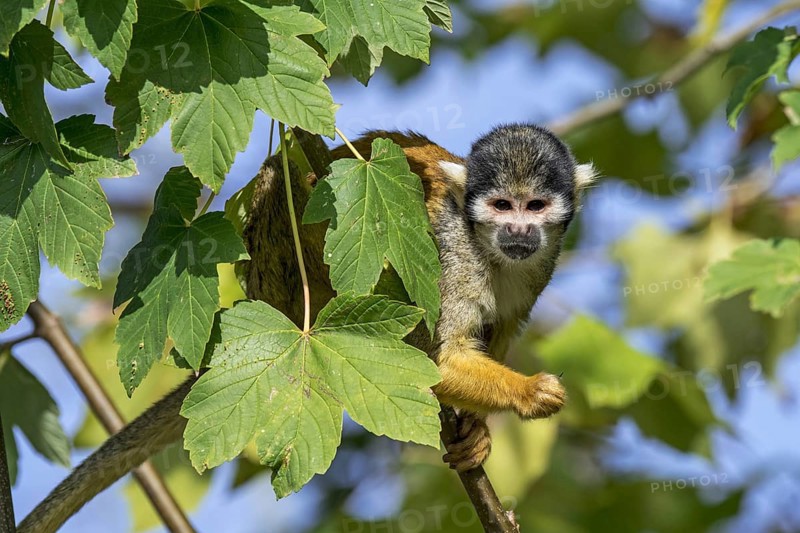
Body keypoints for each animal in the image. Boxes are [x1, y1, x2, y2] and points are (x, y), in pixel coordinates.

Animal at [18, 124, 596, 533]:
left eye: (535, 206)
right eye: (501, 205)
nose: (519, 229)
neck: (490, 252)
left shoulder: (541, 266)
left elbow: (495, 333)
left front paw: (478, 432)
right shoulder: (451, 251)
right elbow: (433, 360)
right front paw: (529, 394)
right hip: (285, 267)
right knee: (291, 180)